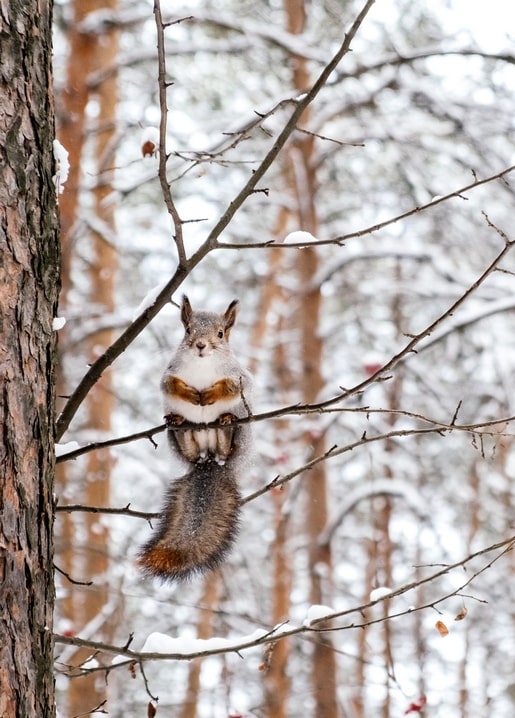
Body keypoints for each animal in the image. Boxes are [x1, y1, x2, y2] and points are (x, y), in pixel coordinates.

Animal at [138, 295, 252, 582]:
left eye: (220, 334)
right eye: (188, 330)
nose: (201, 345)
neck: (202, 365)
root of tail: (209, 460)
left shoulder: (240, 376)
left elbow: (233, 386)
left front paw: (210, 394)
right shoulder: (168, 374)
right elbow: (169, 385)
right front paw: (190, 394)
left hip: (237, 438)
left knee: (225, 443)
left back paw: (225, 423)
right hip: (179, 440)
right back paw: (180, 423)